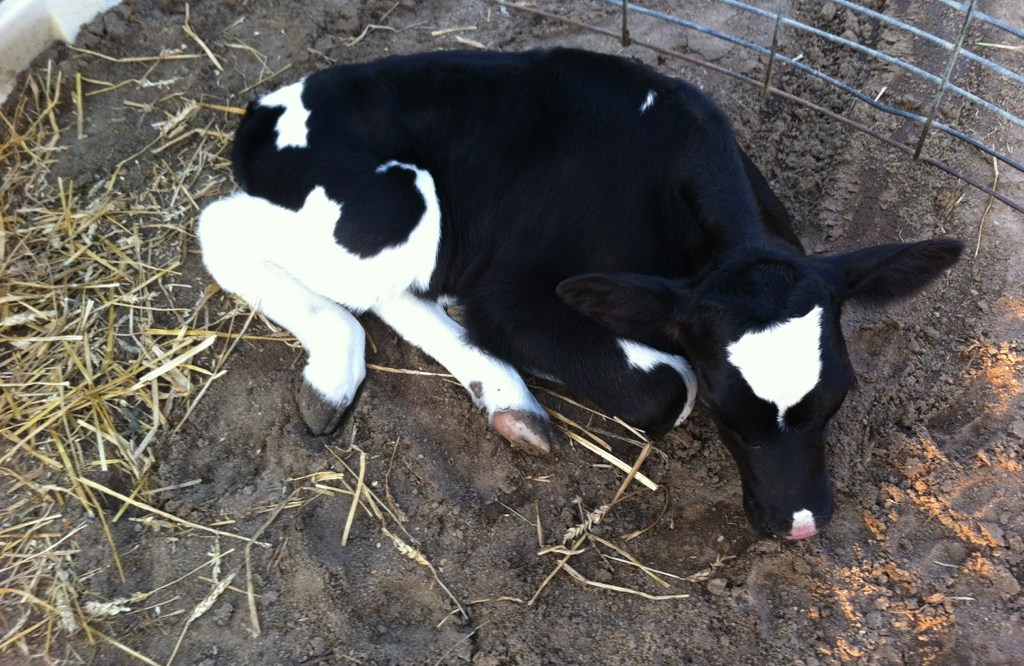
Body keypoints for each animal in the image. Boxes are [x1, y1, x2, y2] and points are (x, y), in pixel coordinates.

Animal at [197, 48, 963, 540]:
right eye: (725, 410)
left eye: (840, 398)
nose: (799, 526)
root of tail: (267, 104)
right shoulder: (508, 291)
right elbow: (669, 387)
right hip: (393, 204)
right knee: (221, 225)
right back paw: (335, 369)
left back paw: (507, 401)